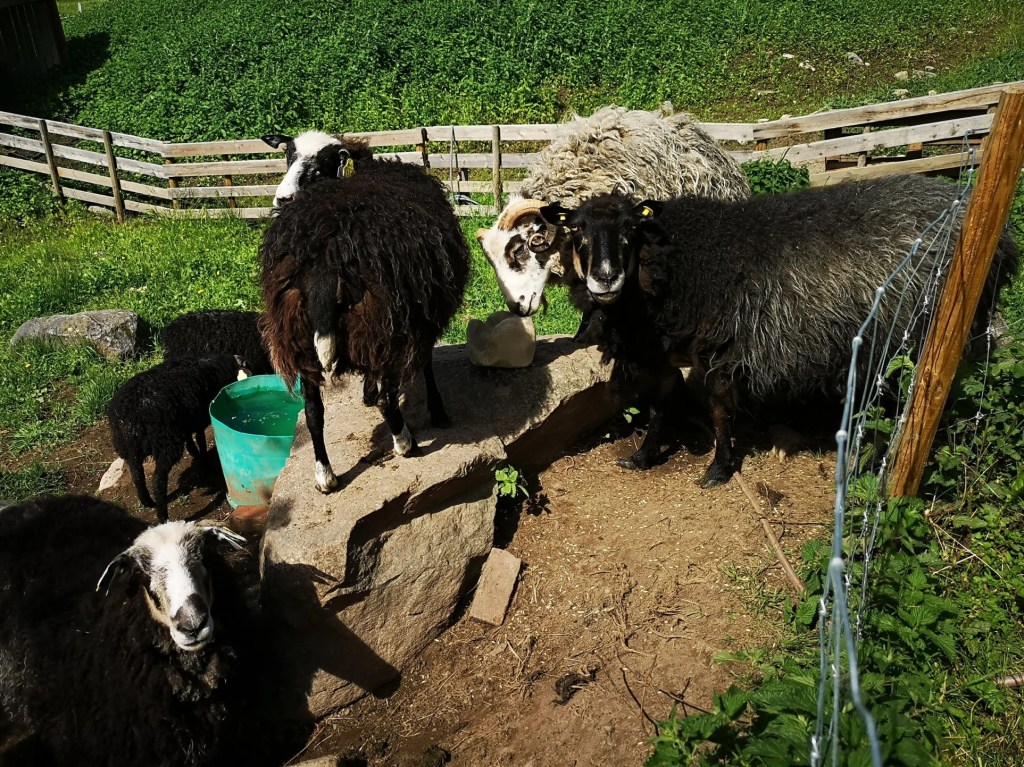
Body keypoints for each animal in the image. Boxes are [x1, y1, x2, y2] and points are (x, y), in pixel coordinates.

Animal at [108, 353, 250, 521]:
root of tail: (130, 417)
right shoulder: (200, 417)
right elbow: (201, 439)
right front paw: (203, 459)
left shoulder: (187, 421)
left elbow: (190, 439)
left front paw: (194, 452)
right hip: (166, 443)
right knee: (158, 480)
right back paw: (163, 516)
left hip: (129, 448)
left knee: (136, 474)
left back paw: (147, 501)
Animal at [259, 150, 470, 494]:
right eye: (289, 159)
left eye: (315, 168)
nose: (282, 198)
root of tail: (325, 256)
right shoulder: (422, 316)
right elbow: (425, 365)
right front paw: (437, 411)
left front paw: (367, 395)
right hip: (385, 323)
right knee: (388, 398)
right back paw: (405, 444)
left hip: (299, 335)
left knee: (313, 411)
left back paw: (325, 476)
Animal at [537, 175, 1020, 487]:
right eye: (576, 230)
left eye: (629, 231)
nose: (604, 279)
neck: (684, 264)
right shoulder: (667, 353)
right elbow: (660, 407)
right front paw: (641, 457)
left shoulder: (722, 349)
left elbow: (718, 410)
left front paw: (717, 470)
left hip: (917, 335)